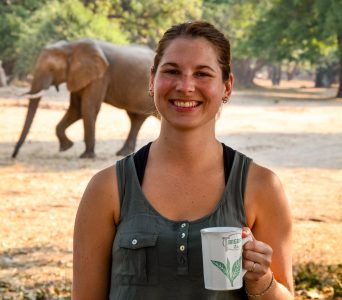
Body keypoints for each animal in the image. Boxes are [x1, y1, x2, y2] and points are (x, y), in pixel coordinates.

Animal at [11, 38, 156, 158]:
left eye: (52, 69)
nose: (14, 155)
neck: (70, 47)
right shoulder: (77, 76)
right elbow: (76, 110)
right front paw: (66, 147)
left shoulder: (100, 76)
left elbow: (88, 107)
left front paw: (86, 156)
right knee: (135, 119)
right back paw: (123, 153)